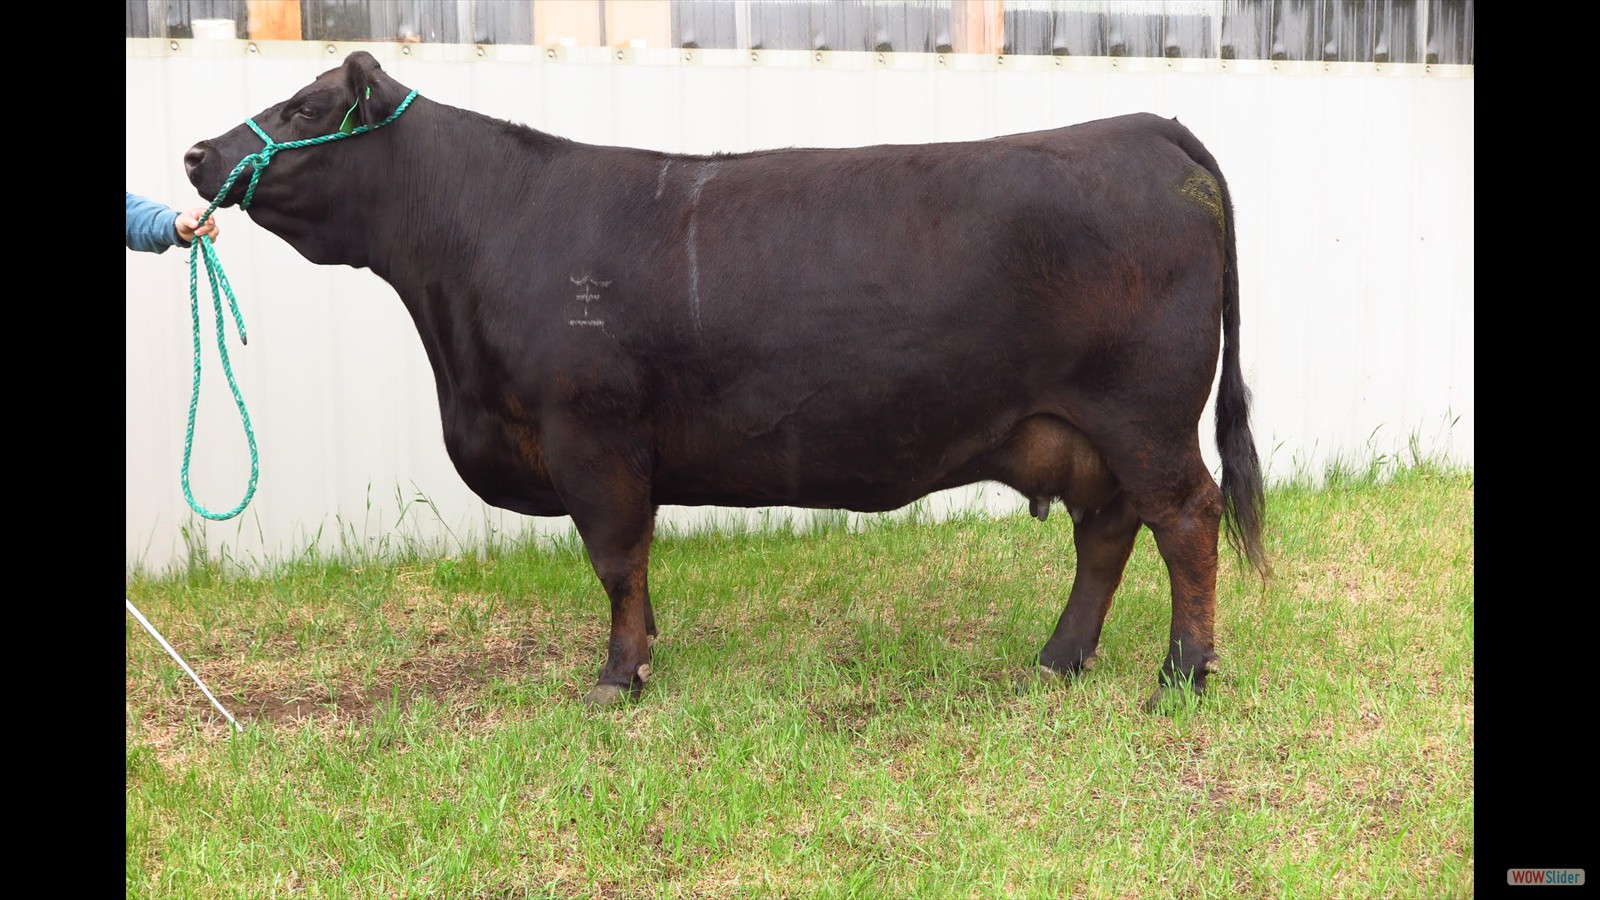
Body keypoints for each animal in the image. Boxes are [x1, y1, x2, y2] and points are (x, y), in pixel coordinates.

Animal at [185, 50, 1268, 709]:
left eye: (304, 108)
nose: (198, 152)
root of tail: (1144, 124)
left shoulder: (590, 434)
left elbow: (614, 557)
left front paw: (618, 675)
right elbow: (630, 565)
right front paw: (647, 648)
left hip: (1143, 413)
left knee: (1185, 519)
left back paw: (1182, 674)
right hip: (1083, 428)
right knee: (1107, 532)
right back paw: (1059, 660)